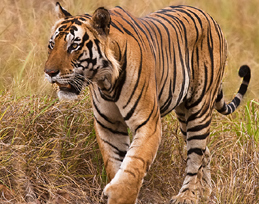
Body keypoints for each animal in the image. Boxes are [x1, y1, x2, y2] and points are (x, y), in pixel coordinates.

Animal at [44, 1, 252, 204]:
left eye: (74, 46)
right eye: (52, 45)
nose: (49, 72)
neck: (106, 82)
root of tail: (209, 17)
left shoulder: (147, 123)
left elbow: (133, 166)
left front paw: (119, 195)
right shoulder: (109, 125)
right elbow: (116, 164)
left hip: (199, 109)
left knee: (195, 156)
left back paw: (187, 196)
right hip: (184, 114)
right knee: (204, 152)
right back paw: (206, 195)